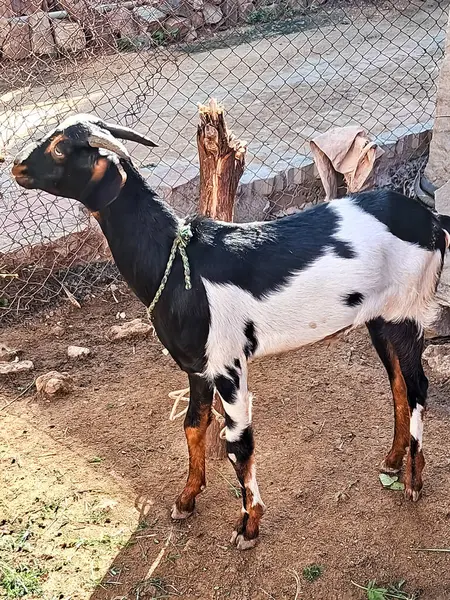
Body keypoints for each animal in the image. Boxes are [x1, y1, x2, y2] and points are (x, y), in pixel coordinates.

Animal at [12, 115, 450, 552]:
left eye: (60, 149)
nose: (17, 166)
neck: (177, 262)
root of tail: (432, 223)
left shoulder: (228, 365)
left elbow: (238, 444)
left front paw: (248, 525)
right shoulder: (196, 366)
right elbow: (193, 426)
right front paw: (186, 499)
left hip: (407, 312)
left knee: (418, 387)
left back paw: (413, 480)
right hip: (380, 318)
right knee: (398, 384)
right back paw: (392, 461)